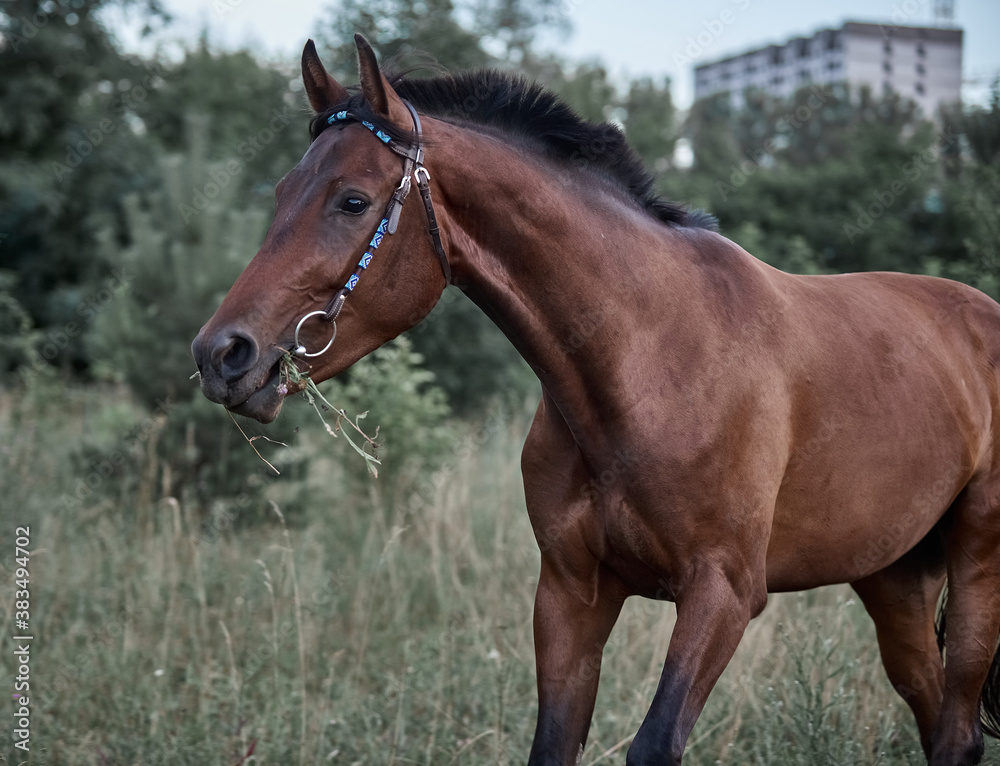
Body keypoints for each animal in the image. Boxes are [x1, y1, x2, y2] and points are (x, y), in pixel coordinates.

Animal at [191, 34, 1000, 765]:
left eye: (352, 201)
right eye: (281, 194)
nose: (221, 354)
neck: (648, 361)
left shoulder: (722, 594)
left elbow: (654, 745)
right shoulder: (571, 592)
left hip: (976, 567)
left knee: (958, 725)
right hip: (893, 579)